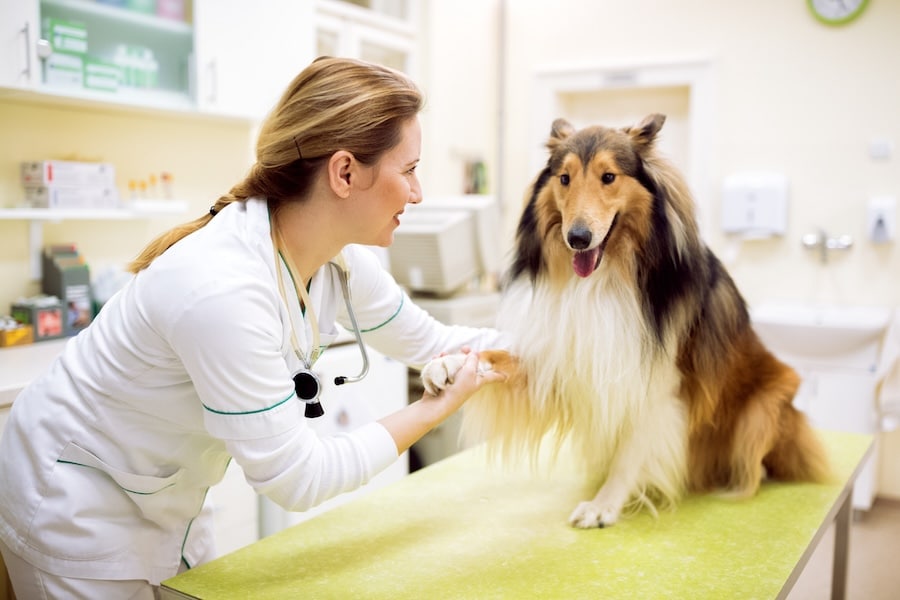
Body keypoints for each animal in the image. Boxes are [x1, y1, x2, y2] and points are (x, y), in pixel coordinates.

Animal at [422, 115, 828, 528]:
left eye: (608, 177)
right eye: (564, 178)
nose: (578, 238)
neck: (605, 277)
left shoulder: (658, 382)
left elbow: (631, 451)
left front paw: (604, 505)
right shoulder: (561, 356)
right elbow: (495, 355)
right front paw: (448, 365)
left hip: (765, 405)